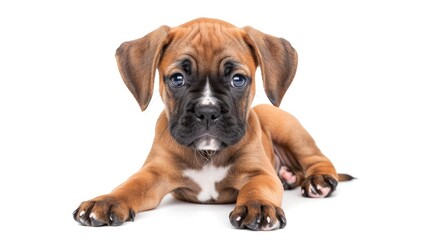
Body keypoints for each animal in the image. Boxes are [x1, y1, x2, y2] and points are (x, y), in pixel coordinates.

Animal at [72, 17, 352, 231]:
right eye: (177, 78)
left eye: (238, 79)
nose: (207, 112)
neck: (207, 153)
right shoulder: (153, 174)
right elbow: (130, 185)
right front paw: (107, 200)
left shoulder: (260, 173)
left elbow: (257, 188)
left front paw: (259, 206)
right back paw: (289, 176)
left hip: (288, 128)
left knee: (317, 159)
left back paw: (318, 181)